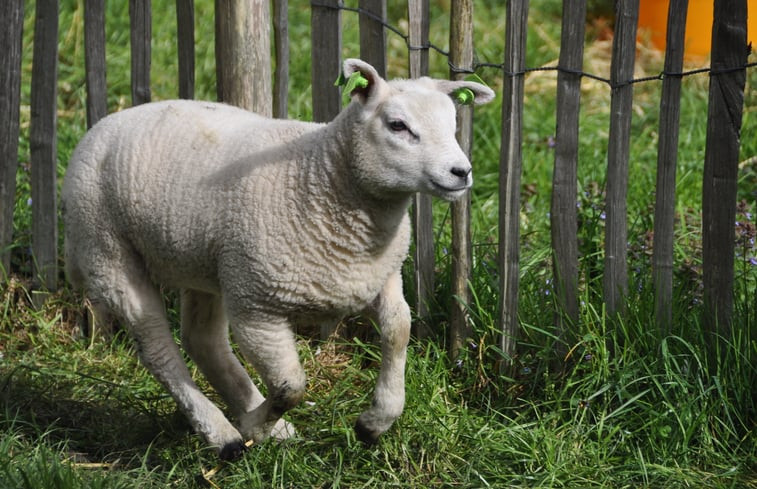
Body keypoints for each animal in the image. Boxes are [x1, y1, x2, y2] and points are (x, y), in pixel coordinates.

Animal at [62, 59, 494, 460]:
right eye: (398, 125)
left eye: (453, 124)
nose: (461, 172)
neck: (322, 175)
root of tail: (106, 122)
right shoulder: (257, 308)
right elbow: (291, 385)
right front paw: (256, 425)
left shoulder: (379, 278)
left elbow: (398, 330)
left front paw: (374, 422)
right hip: (109, 252)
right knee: (158, 349)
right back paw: (224, 434)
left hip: (207, 263)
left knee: (203, 340)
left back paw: (261, 422)